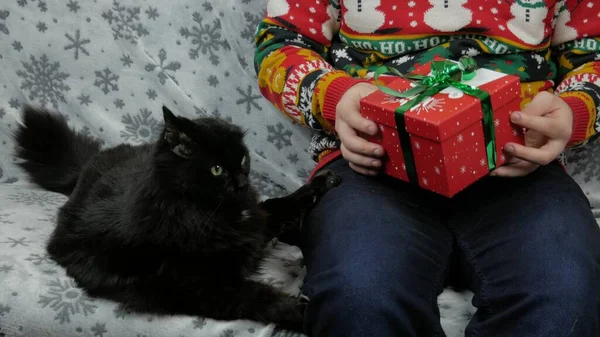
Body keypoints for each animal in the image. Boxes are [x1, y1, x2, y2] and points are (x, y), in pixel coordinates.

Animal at [14, 105, 340, 330]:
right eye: (217, 169)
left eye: (243, 159)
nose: (241, 183)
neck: (204, 213)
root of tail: (85, 169)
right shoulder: (199, 286)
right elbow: (257, 297)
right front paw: (304, 312)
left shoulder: (254, 226)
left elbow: (285, 203)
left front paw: (323, 181)